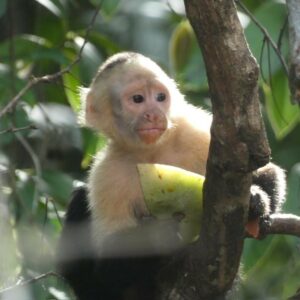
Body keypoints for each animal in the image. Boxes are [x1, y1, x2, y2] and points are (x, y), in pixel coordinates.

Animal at [56, 52, 286, 300]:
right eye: (137, 99)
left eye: (160, 97)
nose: (154, 114)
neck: (153, 151)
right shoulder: (106, 174)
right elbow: (107, 265)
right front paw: (157, 236)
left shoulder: (194, 130)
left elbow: (265, 170)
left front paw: (255, 201)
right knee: (81, 200)